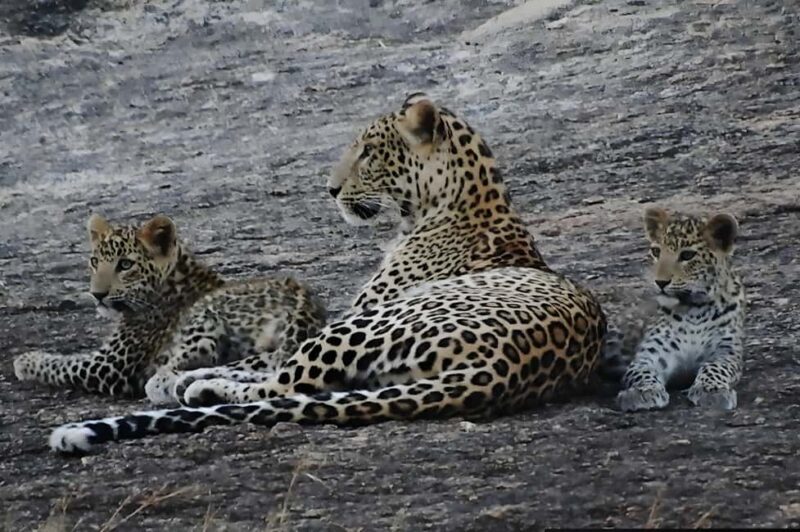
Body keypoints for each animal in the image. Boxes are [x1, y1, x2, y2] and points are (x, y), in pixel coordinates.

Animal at [13, 213, 326, 402]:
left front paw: (24, 360)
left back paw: (168, 385)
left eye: (124, 265)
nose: (97, 295)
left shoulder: (109, 366)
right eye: (94, 262)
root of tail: (304, 304)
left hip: (204, 317)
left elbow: (62, 363)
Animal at [48, 93, 607, 453]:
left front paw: (173, 377)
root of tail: (499, 372)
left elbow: (271, 364)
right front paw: (185, 372)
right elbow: (263, 357)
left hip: (370, 323)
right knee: (296, 382)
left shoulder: (353, 313)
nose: (331, 190)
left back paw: (198, 388)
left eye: (368, 152)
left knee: (285, 386)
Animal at [616, 206, 746, 412]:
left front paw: (711, 392)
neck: (695, 310)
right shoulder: (651, 354)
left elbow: (715, 368)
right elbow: (641, 371)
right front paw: (643, 392)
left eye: (687, 256)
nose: (660, 282)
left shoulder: (726, 351)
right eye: (656, 251)